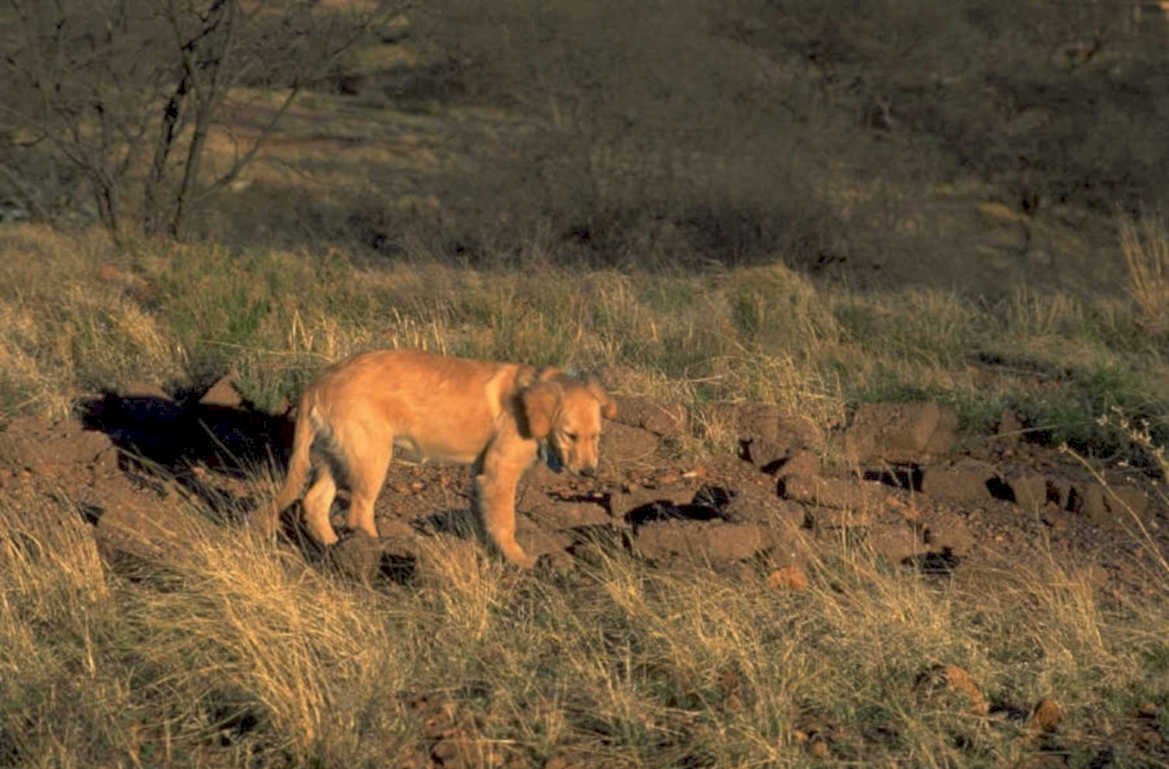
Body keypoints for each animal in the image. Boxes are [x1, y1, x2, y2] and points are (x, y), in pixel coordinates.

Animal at [252, 348, 618, 567]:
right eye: (570, 435)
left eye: (597, 436)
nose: (589, 473)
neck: (530, 403)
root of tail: (318, 383)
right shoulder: (499, 472)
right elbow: (505, 522)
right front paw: (520, 561)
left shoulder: (480, 472)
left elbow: (484, 518)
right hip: (372, 457)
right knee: (357, 512)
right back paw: (377, 552)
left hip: (337, 455)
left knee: (314, 502)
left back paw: (333, 548)